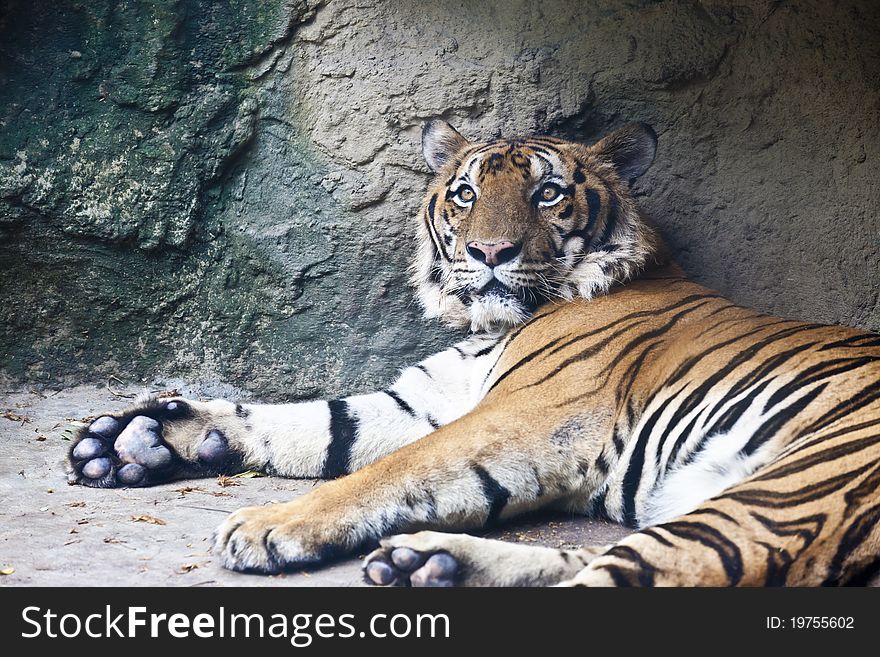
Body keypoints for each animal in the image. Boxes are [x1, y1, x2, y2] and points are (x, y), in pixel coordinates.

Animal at [67, 118, 880, 584]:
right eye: (465, 193)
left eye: (549, 193)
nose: (490, 252)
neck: (488, 328)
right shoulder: (420, 400)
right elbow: (312, 423)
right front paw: (137, 437)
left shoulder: (527, 417)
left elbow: (384, 471)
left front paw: (266, 527)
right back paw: (430, 562)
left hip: (789, 489)